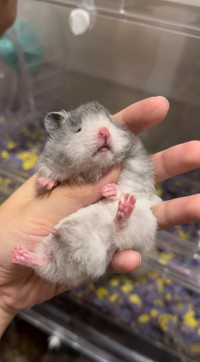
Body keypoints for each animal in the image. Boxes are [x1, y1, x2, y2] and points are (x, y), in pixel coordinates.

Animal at [11, 102, 161, 288]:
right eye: (79, 129)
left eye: (110, 123)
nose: (104, 131)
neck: (93, 170)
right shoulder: (49, 165)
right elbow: (49, 178)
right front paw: (46, 183)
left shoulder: (137, 167)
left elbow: (130, 185)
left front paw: (108, 190)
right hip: (52, 254)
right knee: (45, 263)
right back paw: (20, 254)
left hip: (142, 224)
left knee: (120, 229)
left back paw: (124, 209)